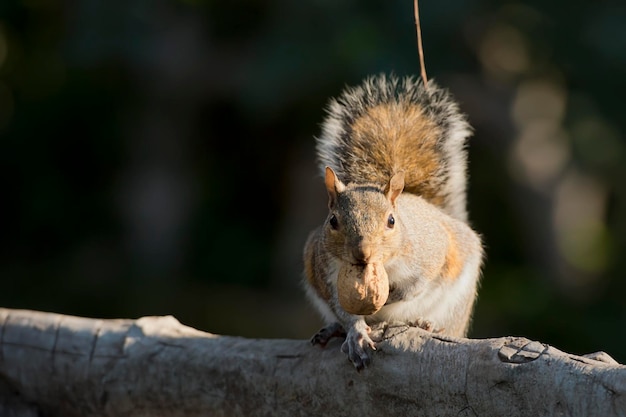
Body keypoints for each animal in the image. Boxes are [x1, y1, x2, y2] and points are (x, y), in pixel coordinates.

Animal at [302, 73, 482, 368]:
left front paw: (392, 298)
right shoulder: (326, 273)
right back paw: (333, 329)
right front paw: (356, 333)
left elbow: (420, 283)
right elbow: (344, 309)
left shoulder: (430, 251)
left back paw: (427, 323)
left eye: (391, 221)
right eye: (333, 221)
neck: (383, 266)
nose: (363, 254)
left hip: (457, 301)